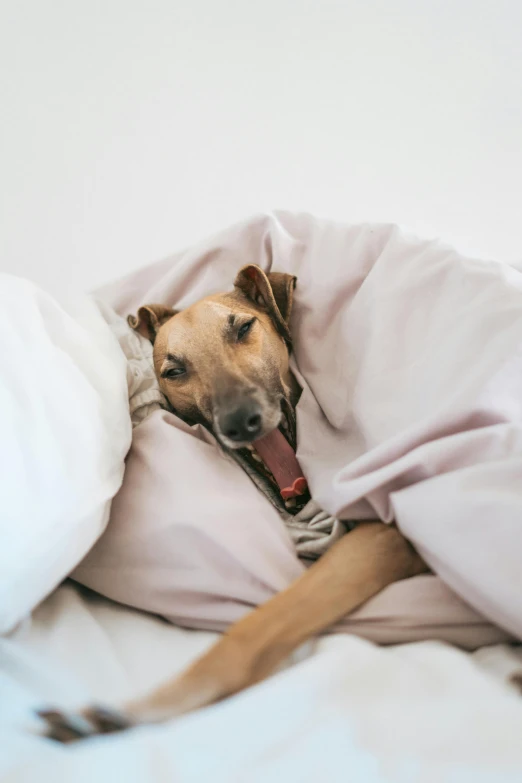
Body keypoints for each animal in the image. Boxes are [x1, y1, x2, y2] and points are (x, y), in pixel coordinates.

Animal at [38, 266, 424, 744]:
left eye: (242, 328)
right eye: (174, 369)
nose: (241, 421)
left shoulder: (385, 539)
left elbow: (250, 631)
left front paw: (142, 708)